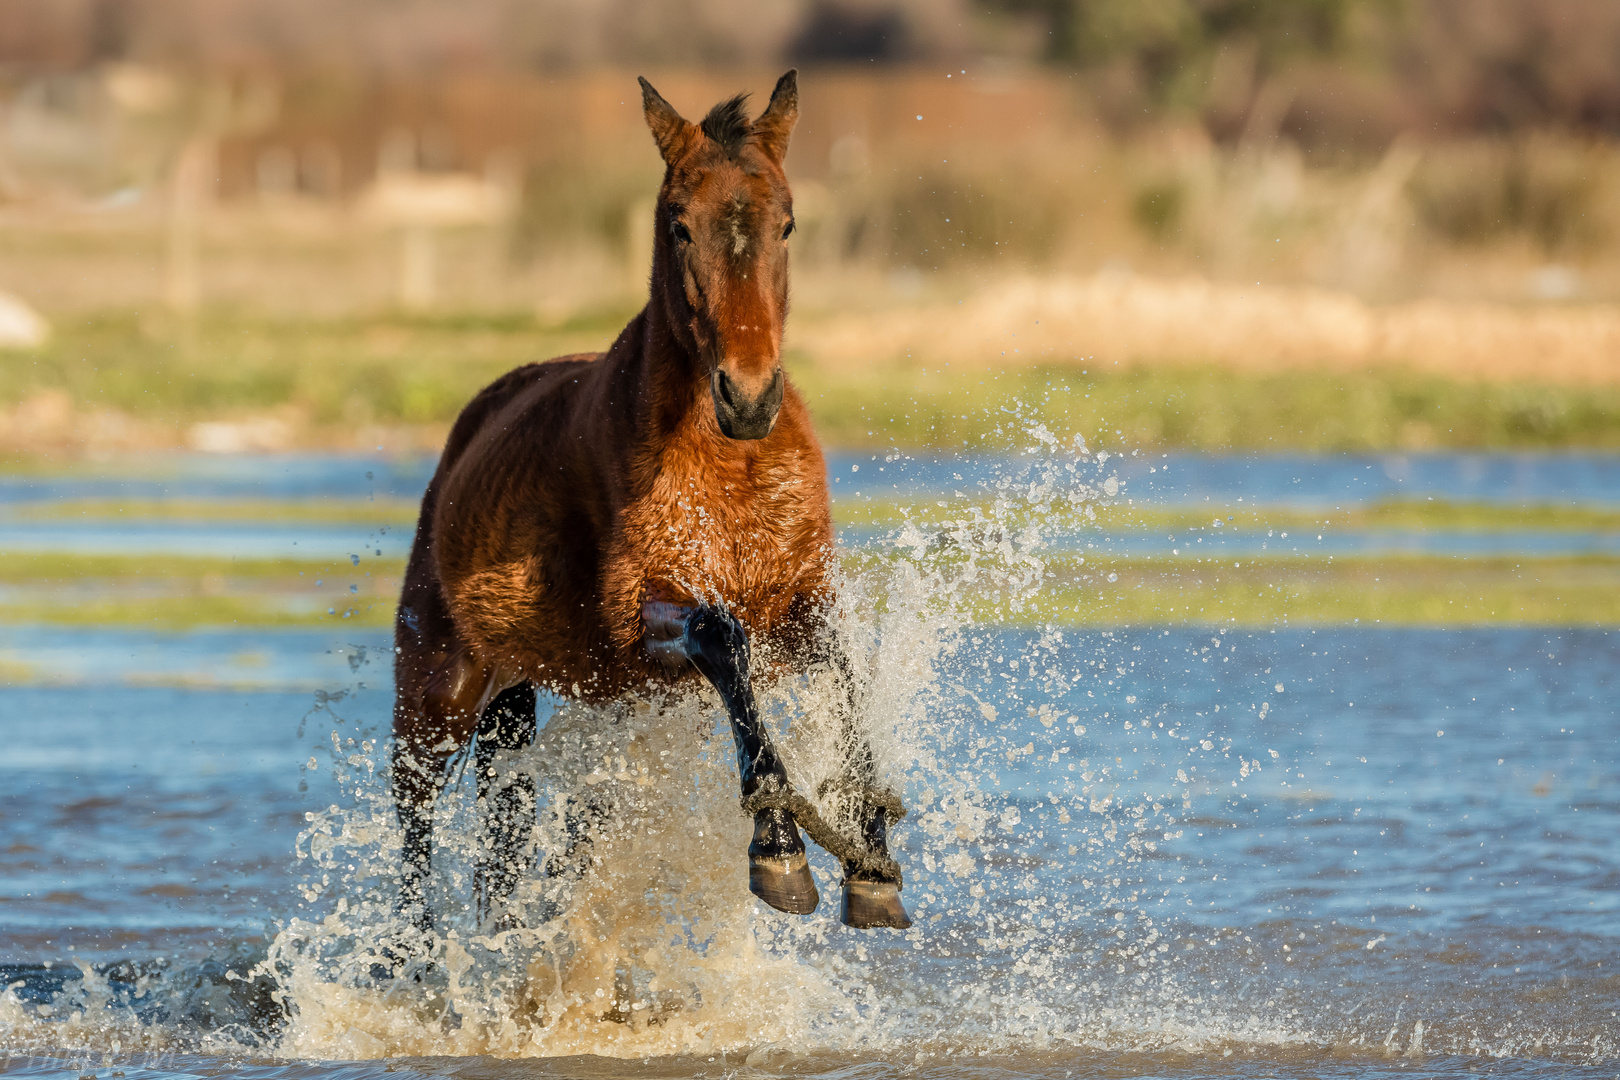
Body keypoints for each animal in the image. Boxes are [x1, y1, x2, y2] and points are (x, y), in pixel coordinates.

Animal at [383, 71, 907, 952]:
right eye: (679, 225)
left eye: (788, 222)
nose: (748, 395)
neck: (731, 469)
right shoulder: (643, 625)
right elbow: (719, 637)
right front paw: (779, 851)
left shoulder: (796, 599)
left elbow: (844, 662)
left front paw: (871, 861)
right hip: (437, 693)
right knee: (411, 821)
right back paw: (407, 958)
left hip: (511, 704)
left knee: (505, 828)